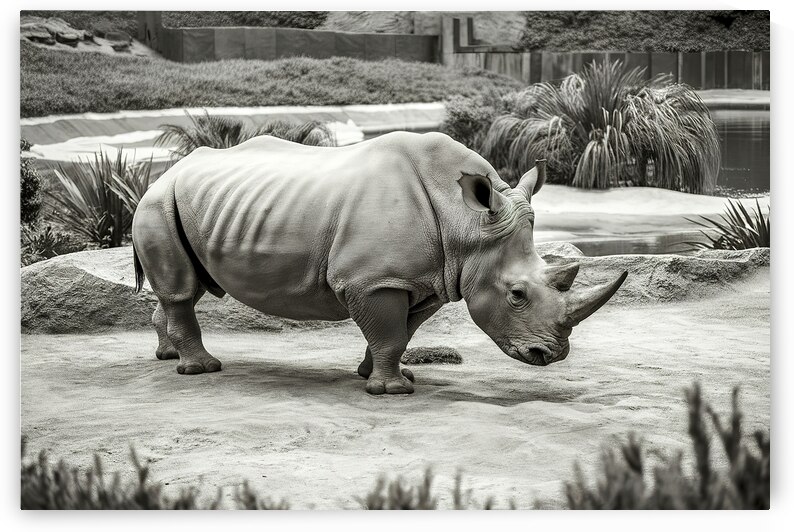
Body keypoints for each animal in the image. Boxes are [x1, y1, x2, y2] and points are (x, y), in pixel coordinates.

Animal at [132, 131, 627, 395]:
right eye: (518, 295)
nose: (551, 356)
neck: (467, 224)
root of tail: (166, 172)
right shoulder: (372, 280)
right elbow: (389, 332)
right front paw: (393, 391)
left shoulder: (430, 279)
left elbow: (402, 331)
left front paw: (381, 375)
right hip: (157, 203)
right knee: (181, 290)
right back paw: (201, 370)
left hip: (194, 203)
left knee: (188, 286)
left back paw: (167, 356)